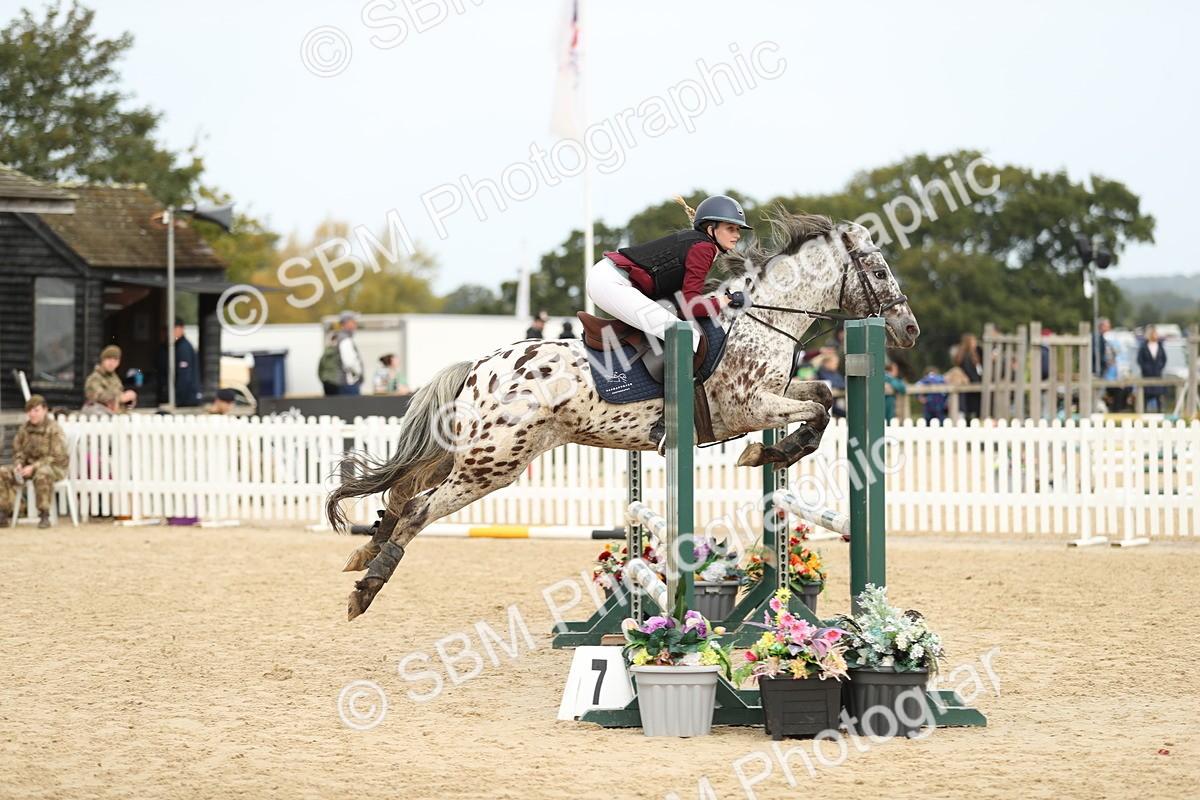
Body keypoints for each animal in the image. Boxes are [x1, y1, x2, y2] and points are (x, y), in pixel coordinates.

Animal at [329, 211, 920, 620]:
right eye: (878, 270)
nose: (910, 329)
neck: (758, 320)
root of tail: (479, 366)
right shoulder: (749, 407)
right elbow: (816, 414)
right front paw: (768, 451)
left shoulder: (773, 395)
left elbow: (821, 395)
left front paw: (773, 451)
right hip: (492, 463)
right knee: (418, 509)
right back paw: (366, 589)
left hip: (474, 453)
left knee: (402, 493)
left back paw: (365, 552)